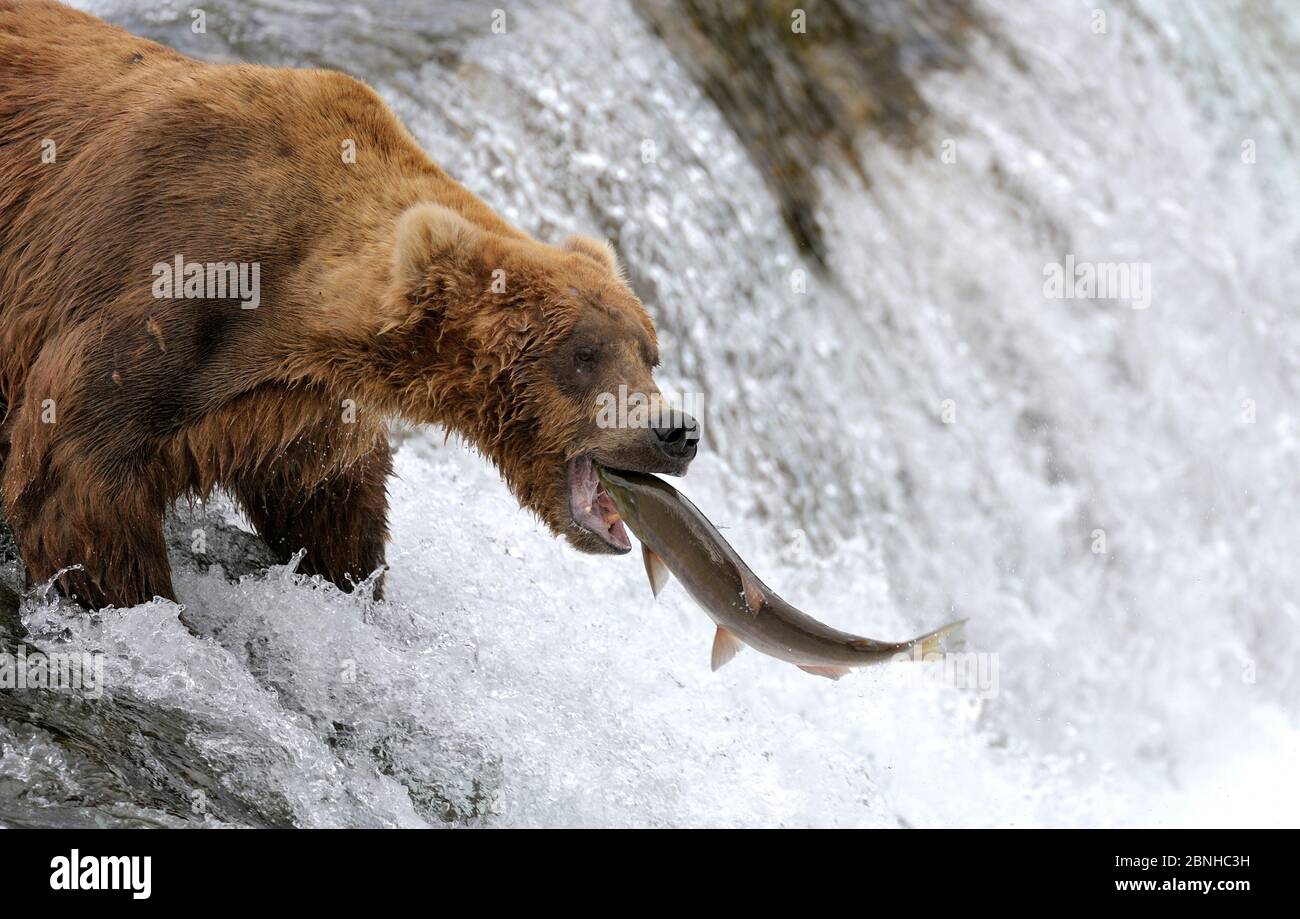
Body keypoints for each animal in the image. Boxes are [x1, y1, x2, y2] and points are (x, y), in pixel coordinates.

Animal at [0, 3, 702, 613]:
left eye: (650, 354)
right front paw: (144, 606)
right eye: (584, 354)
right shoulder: (161, 288)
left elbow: (333, 500)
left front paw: (355, 588)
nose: (677, 431)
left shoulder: (297, 406)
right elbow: (77, 484)